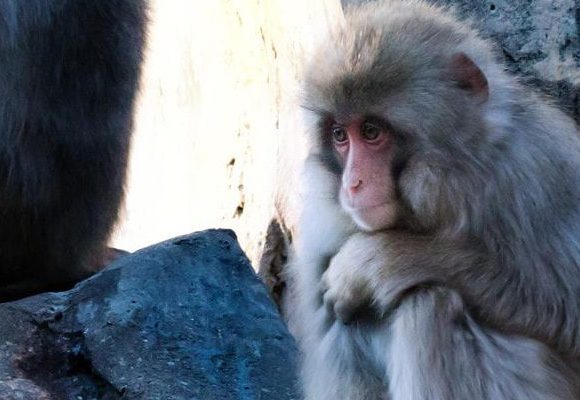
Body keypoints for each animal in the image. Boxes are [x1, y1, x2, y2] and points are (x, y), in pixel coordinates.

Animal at [288, 1, 580, 398]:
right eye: (339, 136)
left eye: (371, 131)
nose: (351, 184)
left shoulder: (537, 173)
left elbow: (567, 308)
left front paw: (378, 261)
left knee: (431, 304)